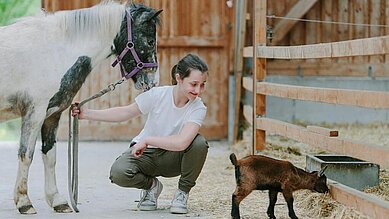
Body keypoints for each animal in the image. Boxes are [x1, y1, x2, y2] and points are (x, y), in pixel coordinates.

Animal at [0, 0, 161, 215]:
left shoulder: (52, 115)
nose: (153, 82)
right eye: (150, 41)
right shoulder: (34, 113)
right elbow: (26, 155)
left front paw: (58, 201)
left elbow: (50, 156)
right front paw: (24, 202)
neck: (55, 51)